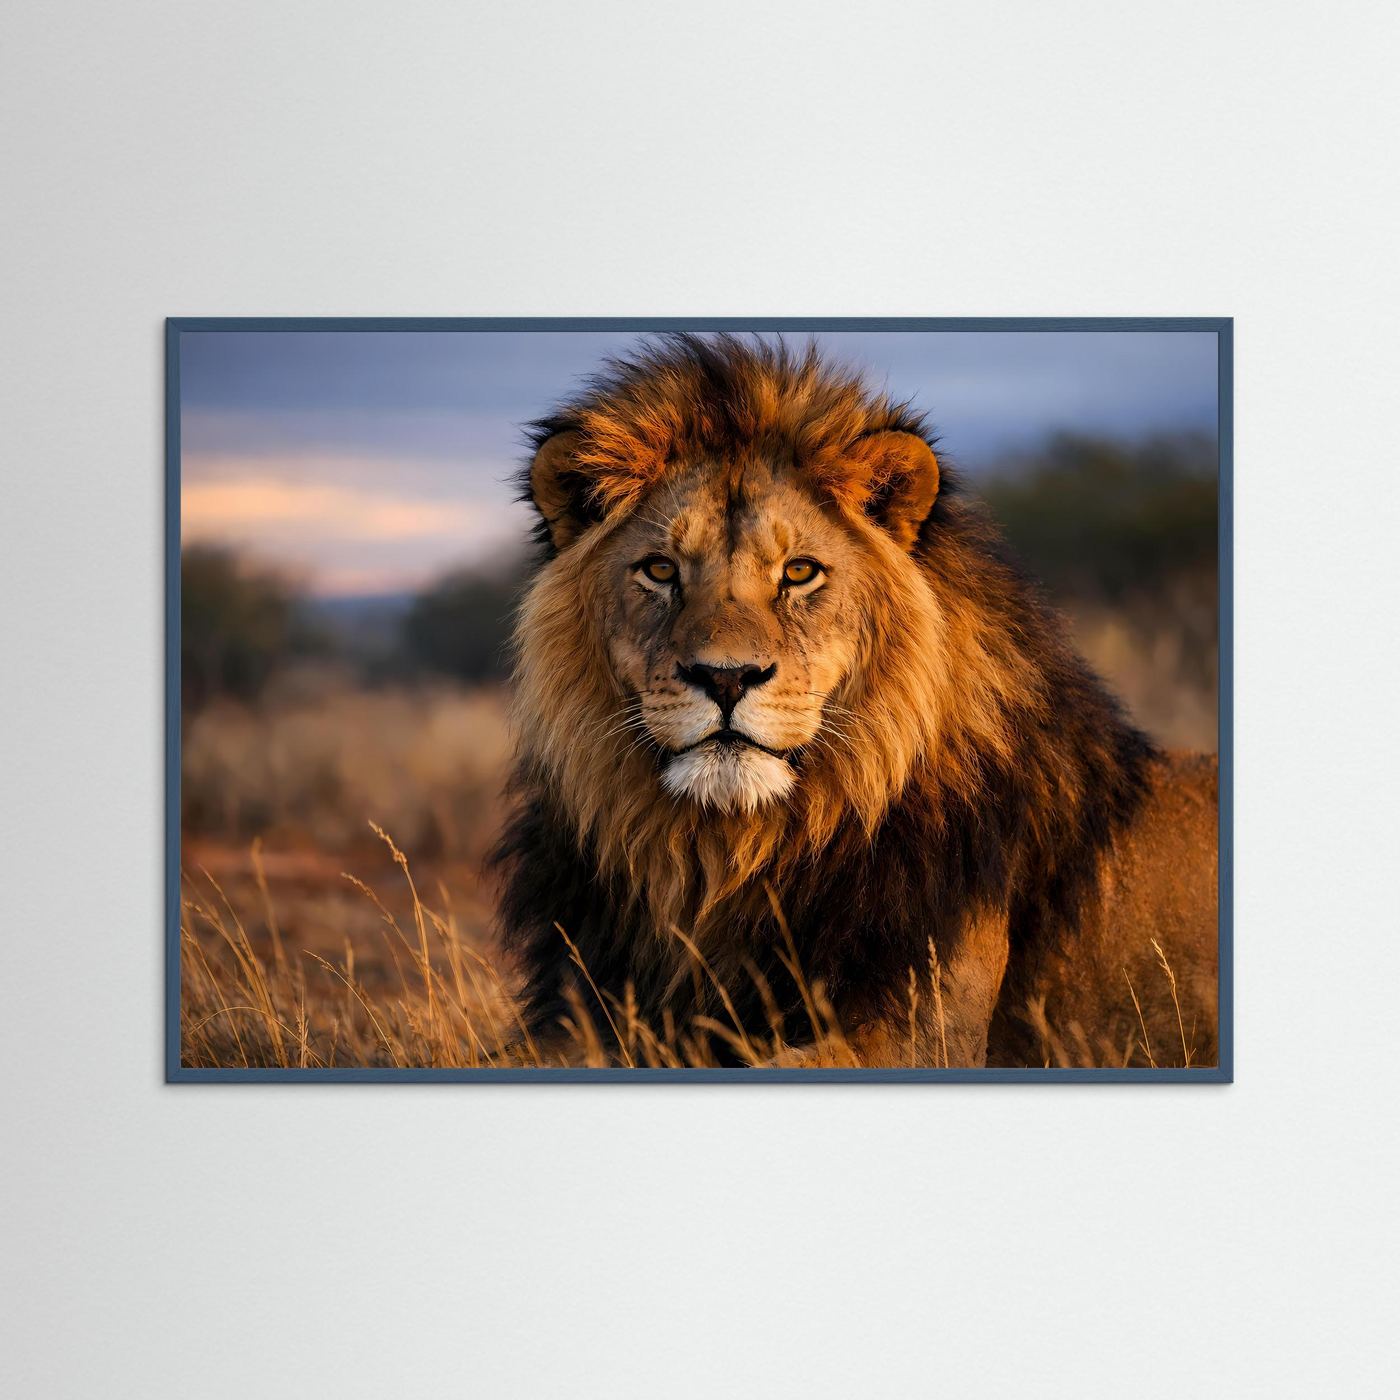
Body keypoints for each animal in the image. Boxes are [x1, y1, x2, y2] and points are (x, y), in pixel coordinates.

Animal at [491, 334, 1218, 1069]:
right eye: (661, 570)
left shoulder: (924, 1036)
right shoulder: (576, 1016)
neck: (726, 854)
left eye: (799, 572)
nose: (725, 679)